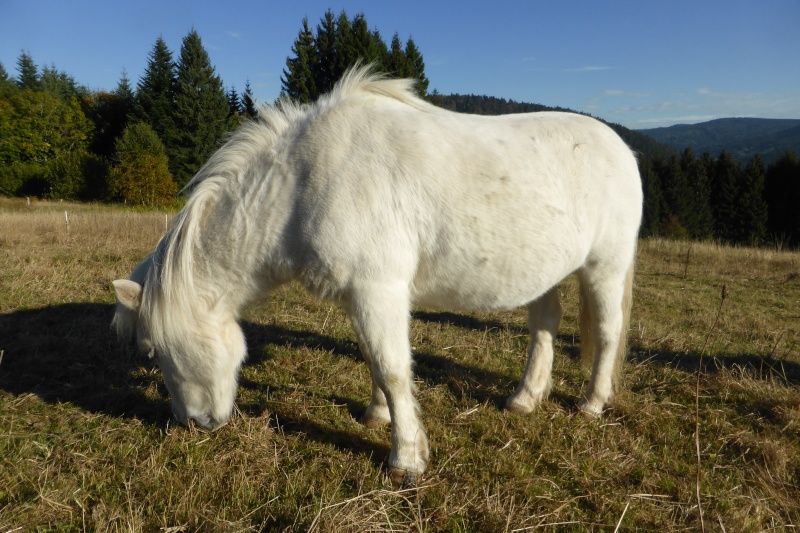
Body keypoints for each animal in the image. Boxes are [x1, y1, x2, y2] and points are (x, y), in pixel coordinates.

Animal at [112, 64, 640, 484]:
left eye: (152, 350)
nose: (195, 423)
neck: (303, 182)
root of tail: (621, 147)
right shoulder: (359, 294)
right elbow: (372, 357)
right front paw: (376, 415)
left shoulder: (378, 289)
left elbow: (393, 368)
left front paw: (405, 460)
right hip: (544, 271)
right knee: (544, 325)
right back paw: (526, 399)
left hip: (606, 265)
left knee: (608, 331)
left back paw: (593, 403)